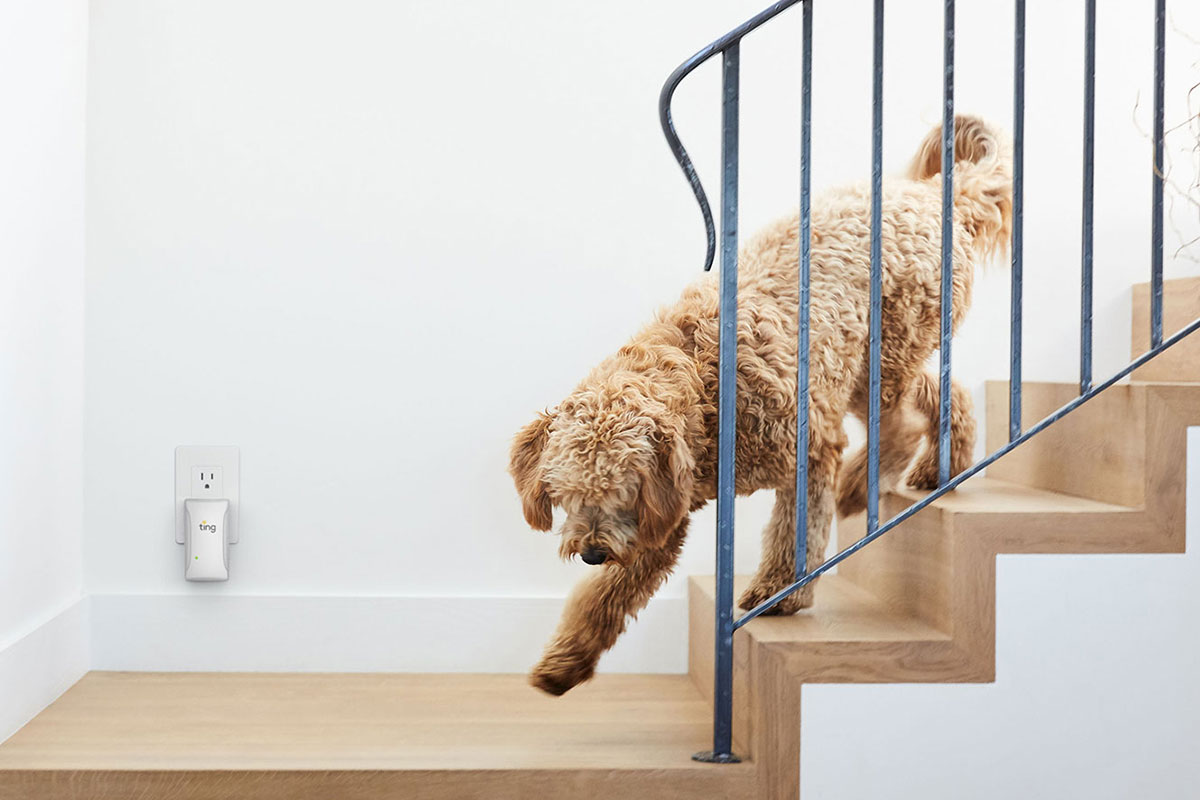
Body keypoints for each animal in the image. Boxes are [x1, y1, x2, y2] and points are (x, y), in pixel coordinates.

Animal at [511, 115, 1008, 695]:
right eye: (565, 492)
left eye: (622, 488)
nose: (591, 551)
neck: (705, 383)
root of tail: (932, 196)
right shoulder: (658, 523)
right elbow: (607, 598)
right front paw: (564, 662)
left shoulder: (808, 446)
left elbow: (797, 533)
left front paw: (780, 593)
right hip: (865, 368)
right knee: (944, 391)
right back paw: (941, 467)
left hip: (883, 354)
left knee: (901, 426)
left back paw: (861, 485)